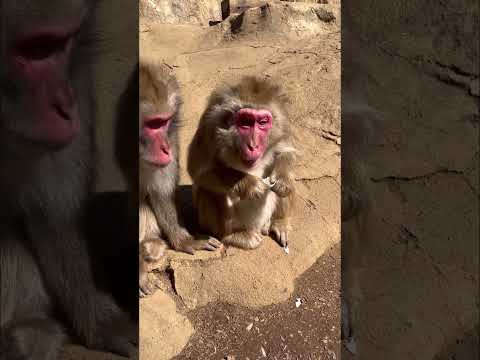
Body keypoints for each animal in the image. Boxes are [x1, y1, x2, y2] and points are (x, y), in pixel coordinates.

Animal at [0, 1, 138, 358]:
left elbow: (55, 212)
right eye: (35, 49)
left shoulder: (78, 75)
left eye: (61, 45)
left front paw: (104, 322)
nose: (66, 104)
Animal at [138, 59, 222, 296]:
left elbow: (161, 191)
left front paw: (185, 240)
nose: (166, 148)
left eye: (164, 122)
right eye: (152, 124)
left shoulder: (173, 138)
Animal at [187, 76, 296, 250]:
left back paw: (279, 222)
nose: (253, 145)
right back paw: (234, 236)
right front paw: (252, 185)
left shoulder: (283, 123)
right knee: (209, 191)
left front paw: (282, 181)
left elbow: (286, 152)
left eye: (262, 122)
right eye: (246, 122)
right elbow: (200, 171)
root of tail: (257, 227)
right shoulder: (209, 125)